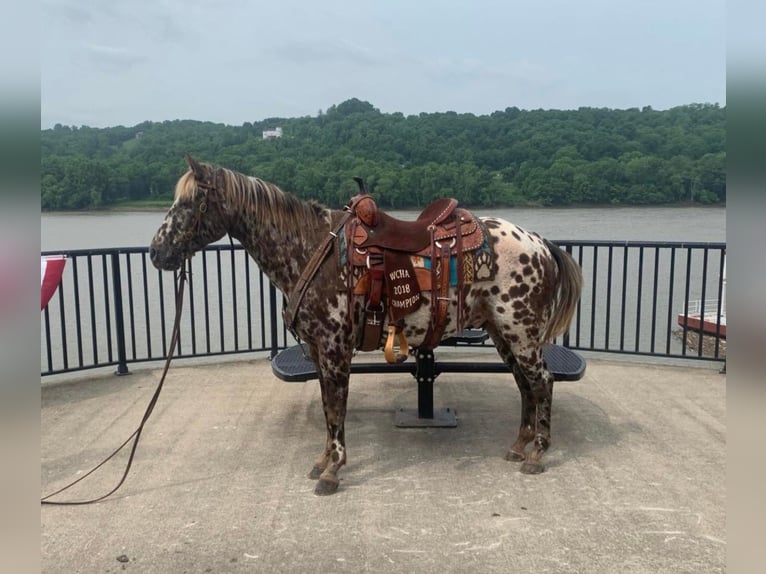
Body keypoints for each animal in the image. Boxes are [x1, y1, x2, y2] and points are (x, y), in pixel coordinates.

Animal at [150, 155, 584, 498]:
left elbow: (337, 409)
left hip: (521, 332)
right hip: (503, 333)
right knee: (525, 385)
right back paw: (519, 445)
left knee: (542, 382)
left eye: (190, 202)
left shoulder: (335, 349)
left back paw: (538, 452)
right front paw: (323, 459)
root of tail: (540, 243)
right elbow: (328, 407)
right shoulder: (320, 351)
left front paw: (332, 470)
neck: (311, 250)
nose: (156, 251)